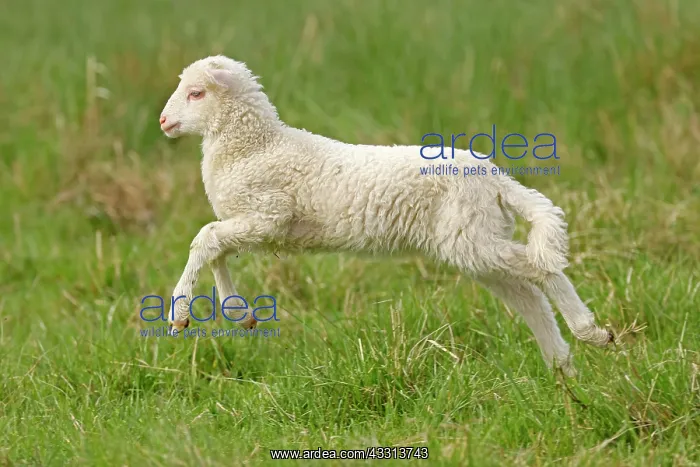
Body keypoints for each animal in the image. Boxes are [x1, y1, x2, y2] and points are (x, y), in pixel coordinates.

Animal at [158, 55, 614, 376]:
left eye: (196, 93)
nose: (163, 121)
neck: (255, 146)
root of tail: (496, 178)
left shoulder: (269, 216)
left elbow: (205, 237)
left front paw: (179, 316)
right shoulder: (254, 225)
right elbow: (216, 248)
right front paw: (240, 314)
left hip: (472, 238)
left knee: (540, 268)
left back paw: (591, 332)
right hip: (475, 239)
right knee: (528, 295)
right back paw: (563, 366)